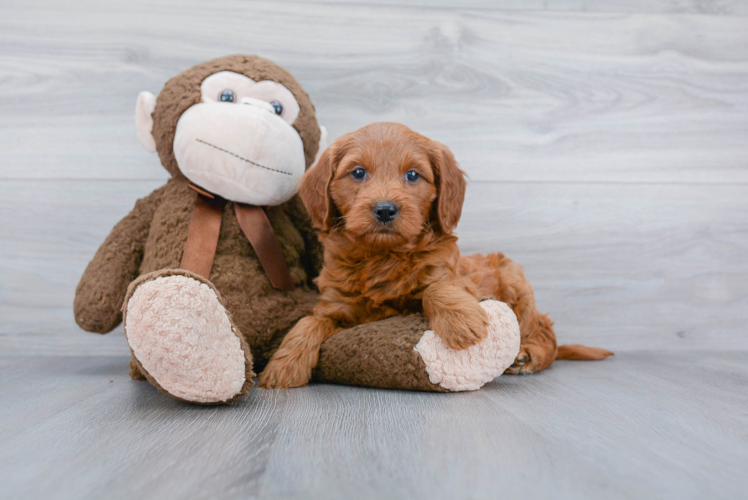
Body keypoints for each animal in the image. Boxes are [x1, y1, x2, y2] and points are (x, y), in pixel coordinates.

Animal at [260, 123, 612, 388]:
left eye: (413, 175)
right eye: (358, 173)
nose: (385, 209)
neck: (382, 256)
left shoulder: (453, 276)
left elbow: (436, 287)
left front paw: (461, 323)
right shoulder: (336, 305)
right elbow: (308, 322)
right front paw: (282, 367)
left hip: (514, 281)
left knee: (545, 331)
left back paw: (529, 354)